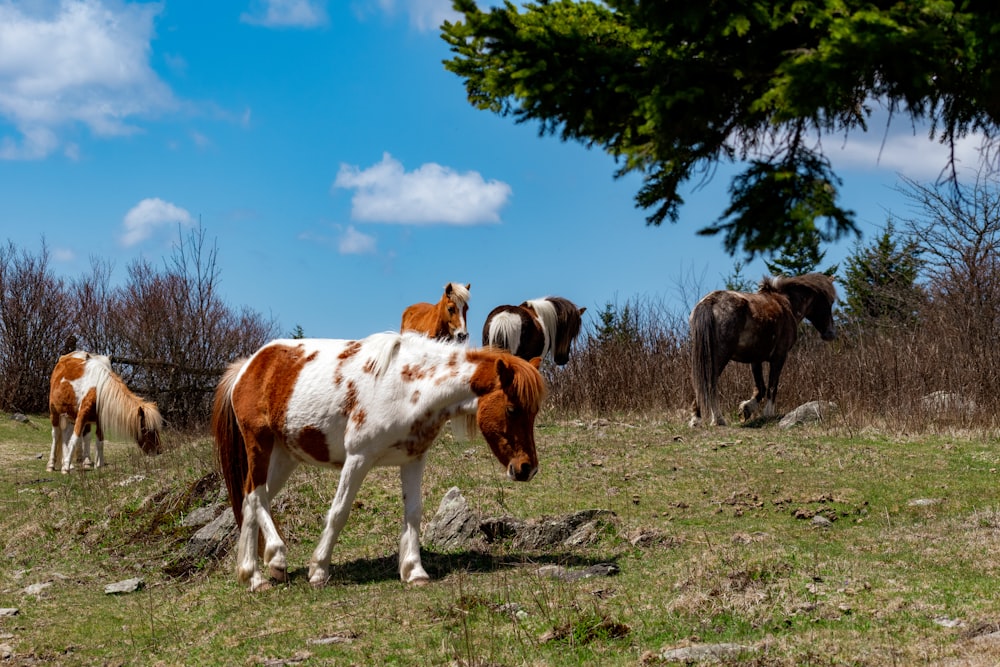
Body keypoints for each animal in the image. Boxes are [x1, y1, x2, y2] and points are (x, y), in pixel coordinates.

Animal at [210, 332, 548, 592]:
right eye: (513, 409)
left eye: (533, 411)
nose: (526, 468)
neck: (411, 387)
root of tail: (248, 365)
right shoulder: (358, 458)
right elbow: (339, 512)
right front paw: (318, 570)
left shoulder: (413, 459)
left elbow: (414, 513)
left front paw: (415, 572)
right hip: (259, 445)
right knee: (255, 494)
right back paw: (272, 562)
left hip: (284, 457)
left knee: (252, 500)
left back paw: (255, 573)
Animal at [688, 272, 836, 426]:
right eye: (829, 301)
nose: (830, 333)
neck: (786, 304)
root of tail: (710, 302)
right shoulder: (779, 356)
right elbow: (772, 386)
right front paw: (768, 413)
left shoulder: (756, 359)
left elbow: (761, 388)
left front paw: (746, 409)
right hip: (719, 357)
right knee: (709, 384)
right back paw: (718, 419)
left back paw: (697, 419)